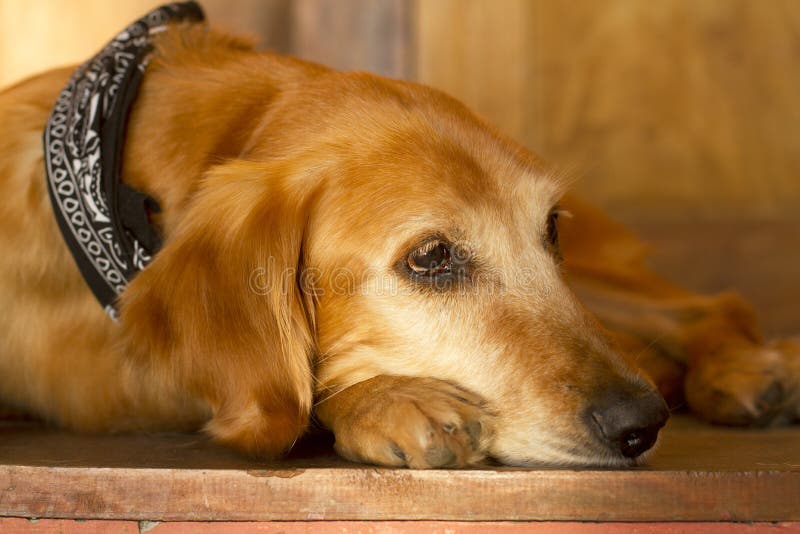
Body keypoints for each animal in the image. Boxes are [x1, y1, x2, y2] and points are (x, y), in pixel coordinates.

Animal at [0, 15, 796, 468]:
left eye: (549, 228)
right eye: (431, 258)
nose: (640, 426)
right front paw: (387, 399)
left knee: (705, 306)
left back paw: (748, 370)